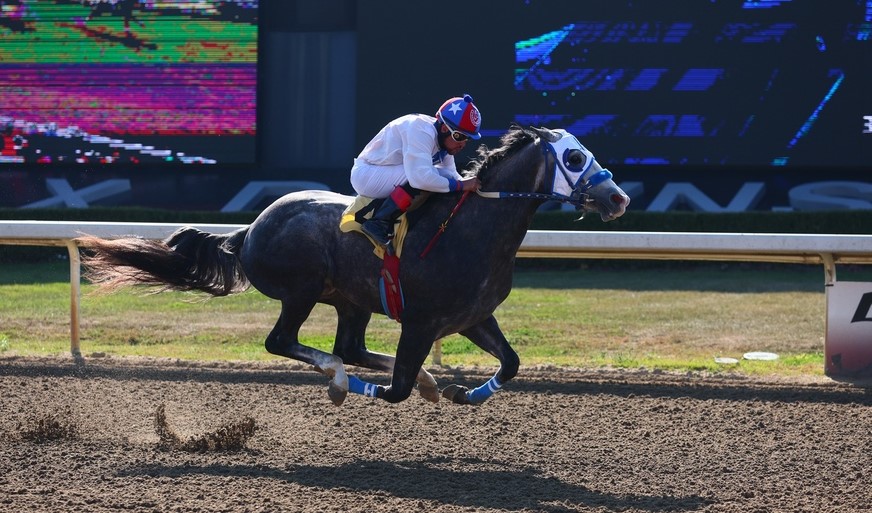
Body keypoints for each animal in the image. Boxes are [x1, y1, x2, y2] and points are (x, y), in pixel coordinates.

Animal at [78, 124, 632, 404]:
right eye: (575, 159)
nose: (619, 198)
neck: (472, 229)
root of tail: (249, 229)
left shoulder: (471, 316)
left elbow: (512, 363)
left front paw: (462, 392)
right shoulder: (422, 321)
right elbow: (395, 392)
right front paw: (389, 385)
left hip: (352, 299)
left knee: (349, 345)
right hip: (301, 290)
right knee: (285, 342)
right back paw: (339, 380)